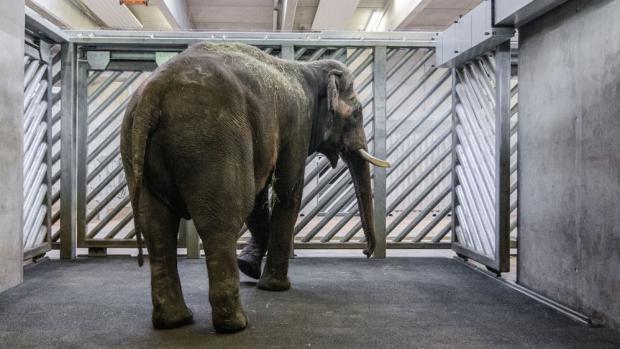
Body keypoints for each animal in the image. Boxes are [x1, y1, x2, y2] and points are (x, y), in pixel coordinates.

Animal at [121, 41, 390, 332]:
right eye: (357, 113)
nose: (366, 252)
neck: (308, 68)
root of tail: (153, 93)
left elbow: (258, 198)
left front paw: (249, 267)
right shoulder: (298, 123)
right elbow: (286, 191)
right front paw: (276, 287)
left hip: (135, 148)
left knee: (156, 228)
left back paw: (175, 321)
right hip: (212, 141)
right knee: (220, 222)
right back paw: (235, 324)